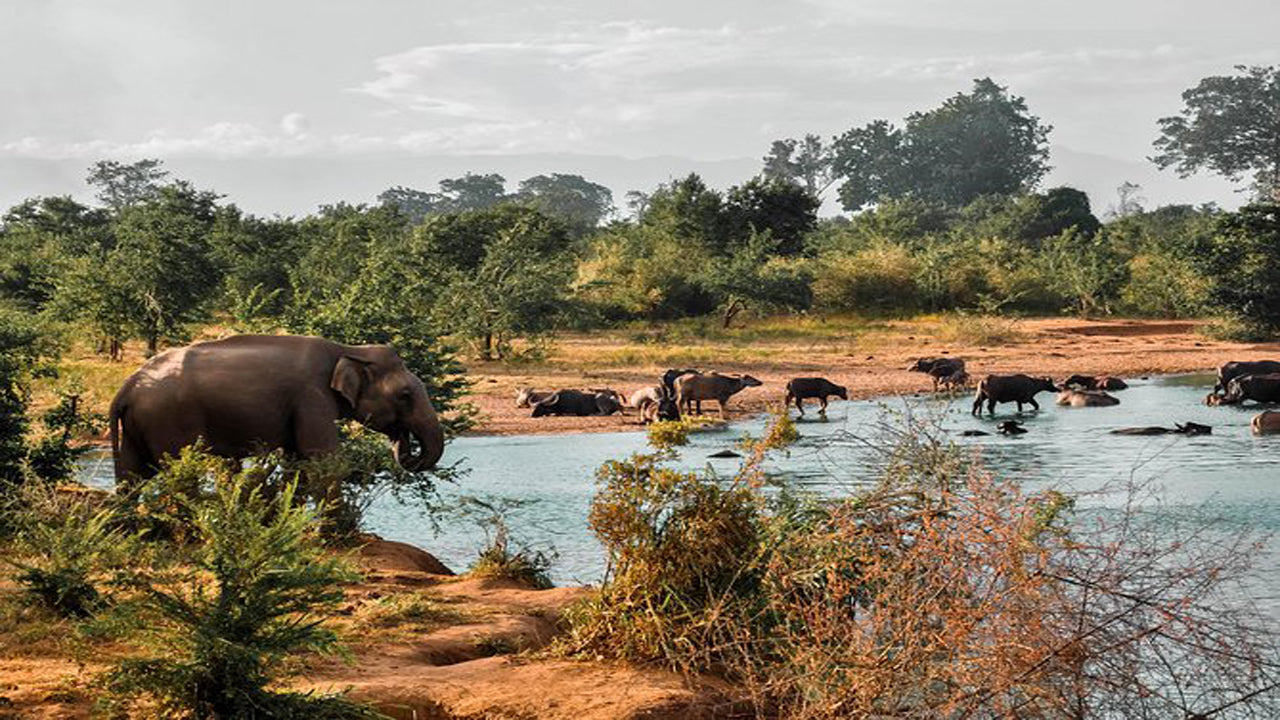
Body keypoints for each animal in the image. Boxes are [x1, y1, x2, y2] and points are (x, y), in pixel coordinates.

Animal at [109, 335, 445, 489]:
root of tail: (126, 388)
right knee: (177, 470)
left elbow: (298, 462)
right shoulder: (311, 397)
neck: (348, 349)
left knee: (133, 474)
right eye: (405, 396)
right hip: (169, 420)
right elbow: (323, 459)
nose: (409, 453)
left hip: (141, 424)